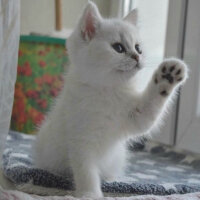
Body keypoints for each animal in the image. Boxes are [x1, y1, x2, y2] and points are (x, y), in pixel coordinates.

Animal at [33, 1, 188, 198]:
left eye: (138, 48)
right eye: (119, 48)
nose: (137, 57)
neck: (108, 91)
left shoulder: (138, 117)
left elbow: (153, 104)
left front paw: (168, 75)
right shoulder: (81, 140)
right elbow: (86, 171)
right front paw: (90, 194)